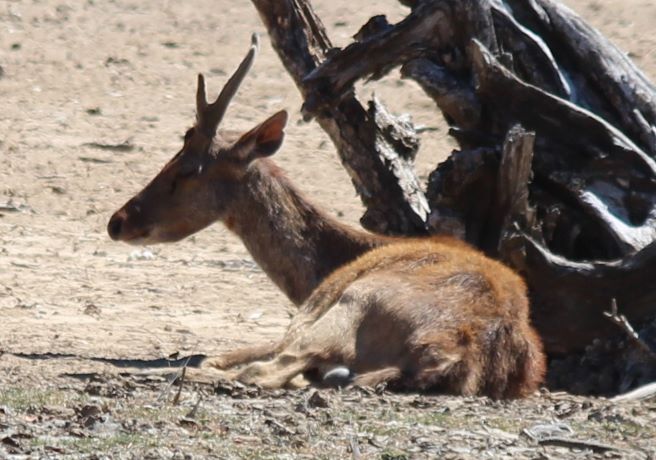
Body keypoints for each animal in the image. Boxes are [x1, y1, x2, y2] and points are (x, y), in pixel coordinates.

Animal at [107, 35, 546, 399]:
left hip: (356, 302)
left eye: (186, 170)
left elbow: (215, 356)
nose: (118, 220)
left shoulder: (305, 315)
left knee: (264, 371)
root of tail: (451, 353)